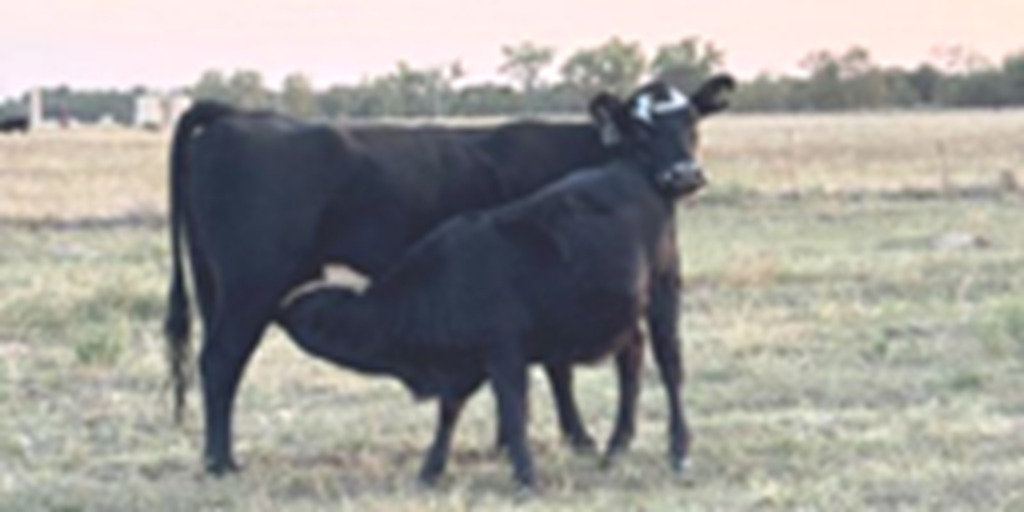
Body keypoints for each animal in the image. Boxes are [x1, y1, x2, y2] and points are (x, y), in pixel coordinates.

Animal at [163, 76, 733, 475]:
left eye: (693, 122)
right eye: (640, 127)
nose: (684, 175)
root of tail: (237, 118)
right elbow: (559, 367)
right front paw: (576, 438)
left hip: (218, 288)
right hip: (251, 289)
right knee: (220, 363)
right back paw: (221, 463)